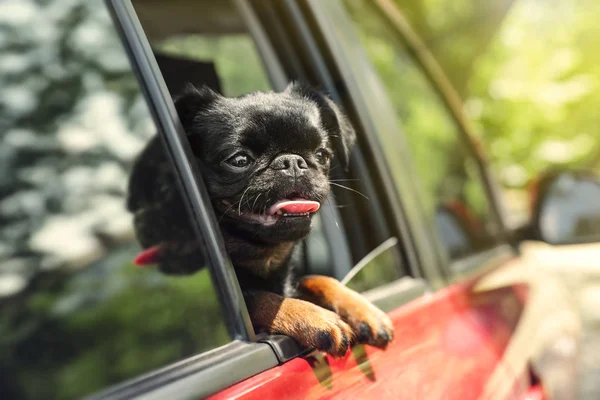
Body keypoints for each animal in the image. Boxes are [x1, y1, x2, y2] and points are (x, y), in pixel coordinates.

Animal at [126, 82, 394, 356]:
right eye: (239, 160)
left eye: (321, 155)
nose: (292, 161)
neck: (263, 258)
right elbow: (260, 297)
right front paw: (316, 317)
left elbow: (315, 278)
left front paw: (364, 310)